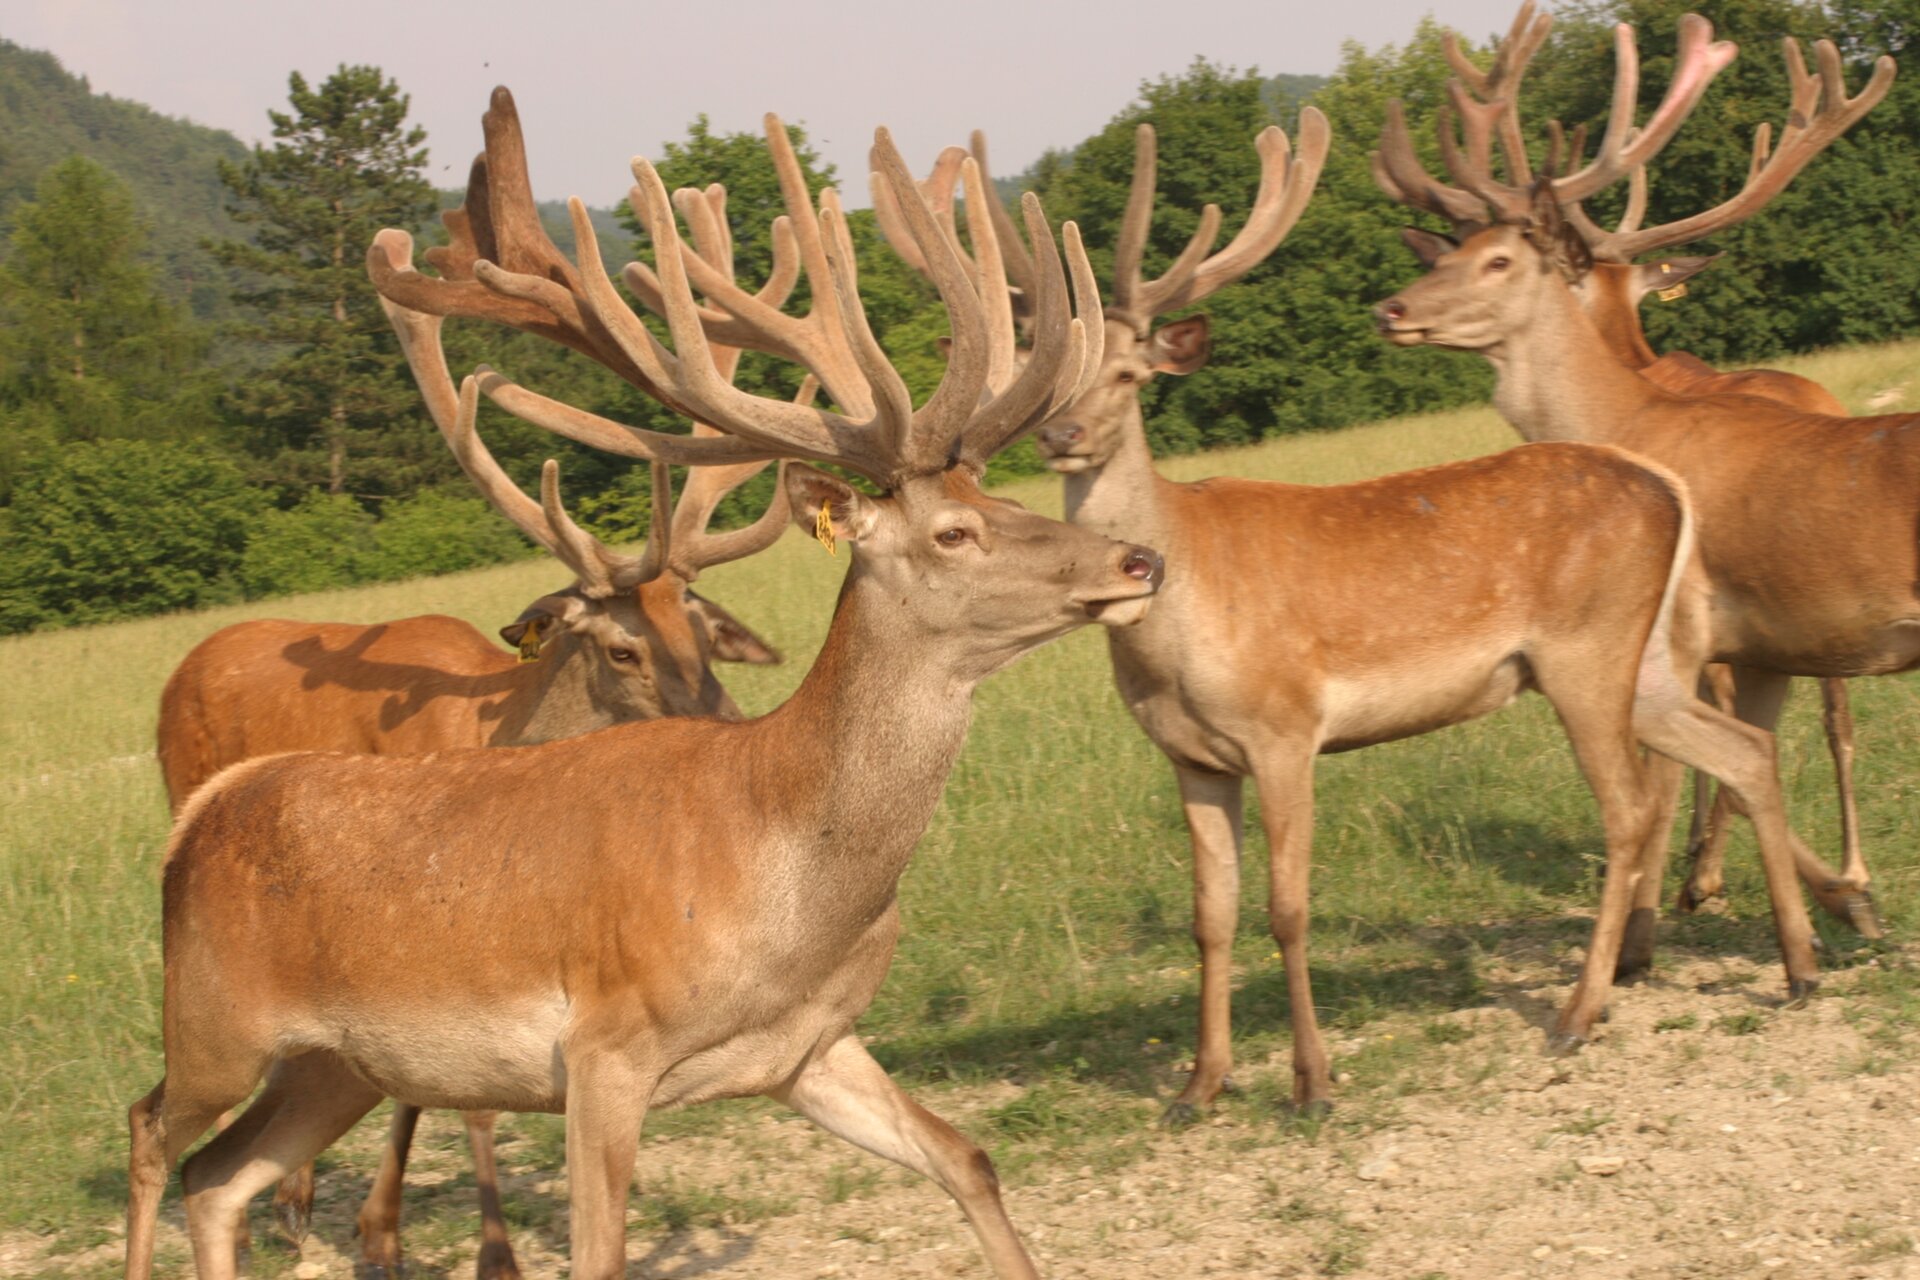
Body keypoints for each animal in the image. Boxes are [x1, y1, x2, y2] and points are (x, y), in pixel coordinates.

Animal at [123, 88, 1160, 1280]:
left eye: (1009, 496)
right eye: (954, 530)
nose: (1140, 560)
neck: (787, 883)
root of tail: (197, 818)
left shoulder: (807, 1048)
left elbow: (968, 1158)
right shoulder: (604, 1047)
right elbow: (599, 1251)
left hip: (338, 1061)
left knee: (219, 1177)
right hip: (214, 1018)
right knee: (151, 1128)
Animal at [877, 113, 1827, 1124]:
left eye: (1133, 373)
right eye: (1054, 380)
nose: (1060, 435)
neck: (1172, 626)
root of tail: (1666, 486)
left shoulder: (1285, 727)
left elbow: (1286, 909)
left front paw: (1312, 1082)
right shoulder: (1190, 758)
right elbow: (1211, 917)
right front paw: (1198, 1086)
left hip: (1588, 652)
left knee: (1630, 807)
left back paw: (1581, 1012)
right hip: (1639, 665)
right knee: (1743, 749)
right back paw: (1800, 966)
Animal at [1372, 7, 1897, 941]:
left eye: (1500, 260)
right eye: (1447, 252)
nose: (1390, 307)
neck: (1623, 412)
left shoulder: (1674, 622)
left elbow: (1679, 764)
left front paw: (1685, 902)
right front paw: (1818, 893)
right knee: (1834, 717)